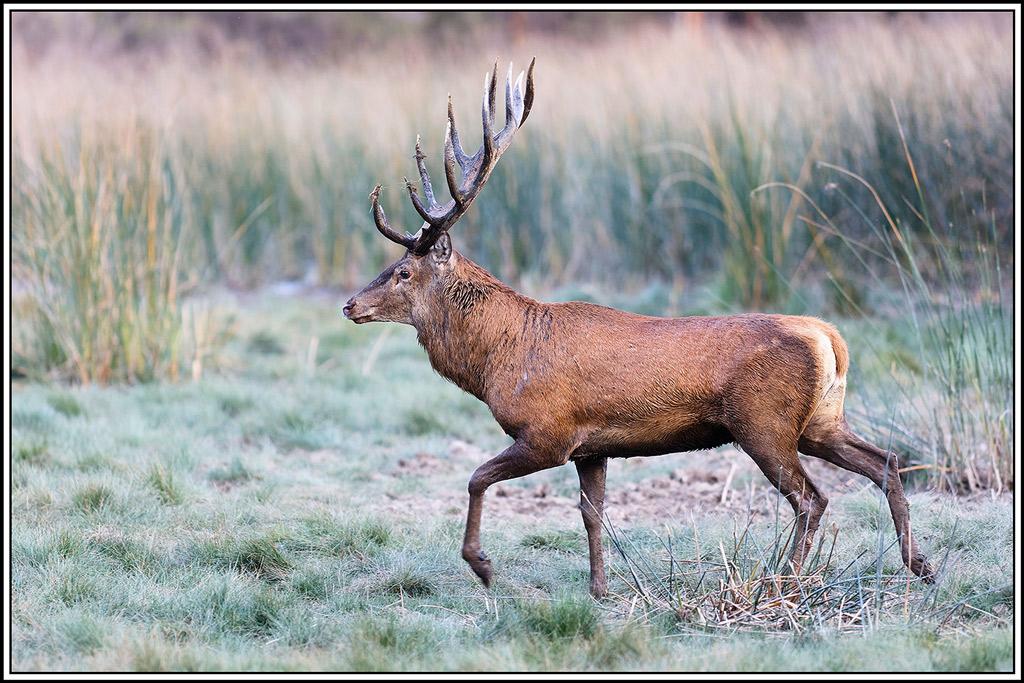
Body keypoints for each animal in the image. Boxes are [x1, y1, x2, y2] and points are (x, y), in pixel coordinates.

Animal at [342, 58, 935, 598]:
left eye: (402, 272)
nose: (349, 305)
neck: (494, 361)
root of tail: (829, 338)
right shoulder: (591, 447)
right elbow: (591, 513)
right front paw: (600, 588)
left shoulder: (547, 433)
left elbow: (476, 477)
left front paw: (483, 566)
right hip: (821, 420)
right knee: (886, 462)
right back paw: (919, 566)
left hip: (762, 423)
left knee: (812, 498)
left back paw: (781, 582)